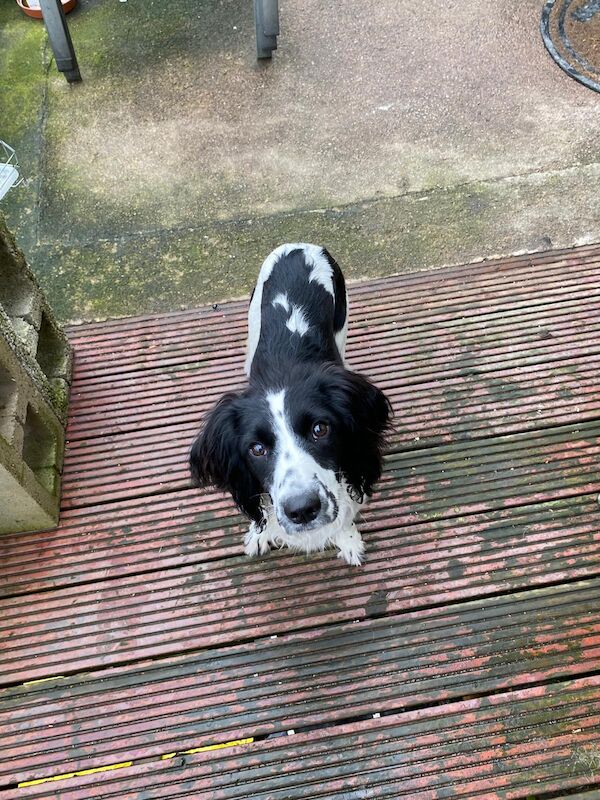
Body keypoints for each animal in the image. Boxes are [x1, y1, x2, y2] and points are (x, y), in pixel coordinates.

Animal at [190, 244, 392, 564]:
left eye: (320, 429)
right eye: (256, 449)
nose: (302, 510)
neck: (285, 368)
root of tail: (300, 246)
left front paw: (348, 540)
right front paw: (258, 534)